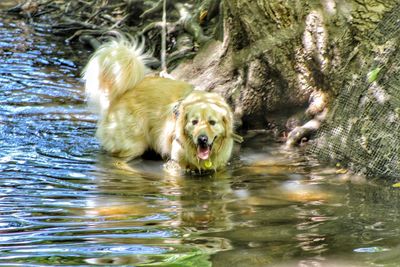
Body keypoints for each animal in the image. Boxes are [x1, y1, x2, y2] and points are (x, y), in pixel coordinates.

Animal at [83, 38, 242, 174]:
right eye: (194, 122)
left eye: (212, 122)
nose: (202, 139)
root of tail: (125, 91)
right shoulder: (176, 164)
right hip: (132, 144)